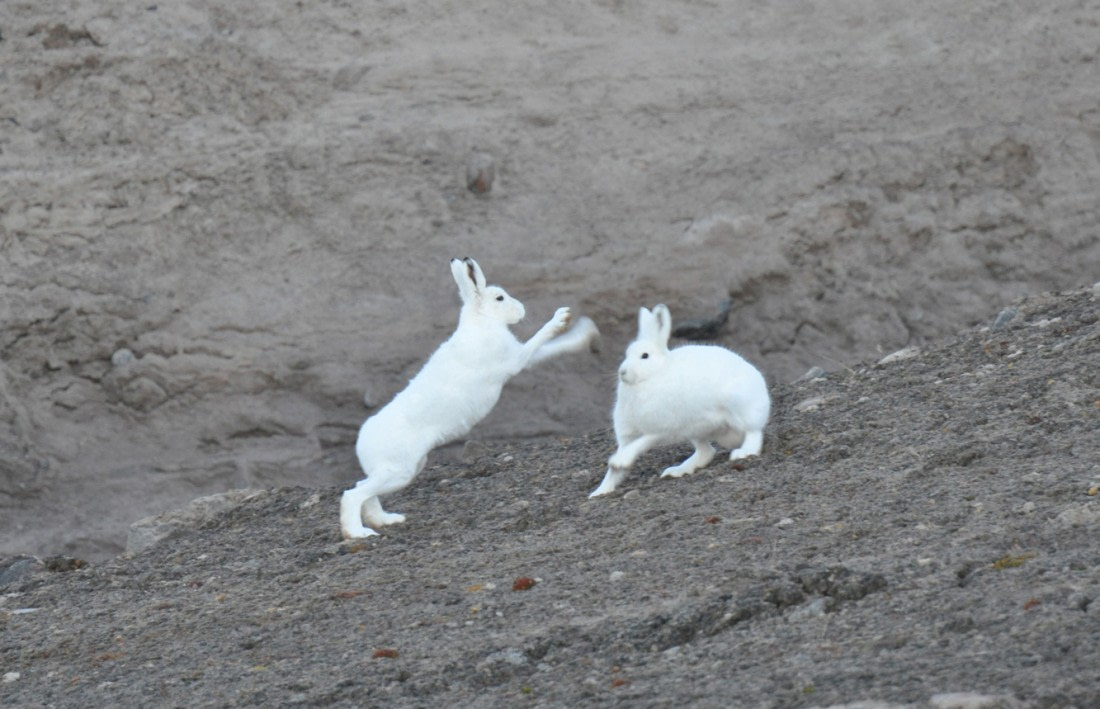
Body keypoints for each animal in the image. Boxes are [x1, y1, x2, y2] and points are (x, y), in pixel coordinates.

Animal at [340, 257, 599, 539]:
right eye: (499, 298)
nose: (521, 309)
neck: (481, 320)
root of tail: (362, 443)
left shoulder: (519, 357)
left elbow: (550, 349)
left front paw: (584, 333)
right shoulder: (516, 358)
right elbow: (541, 341)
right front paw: (563, 320)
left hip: (405, 469)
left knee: (364, 489)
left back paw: (385, 520)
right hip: (398, 470)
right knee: (353, 494)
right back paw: (358, 533)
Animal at [589, 303, 769, 498]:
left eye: (645, 356)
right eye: (626, 354)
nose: (622, 372)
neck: (652, 376)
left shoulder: (659, 429)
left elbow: (639, 445)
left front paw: (619, 460)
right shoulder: (629, 435)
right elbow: (614, 470)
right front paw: (600, 491)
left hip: (741, 409)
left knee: (753, 433)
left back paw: (742, 452)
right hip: (695, 429)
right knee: (706, 451)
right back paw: (677, 470)